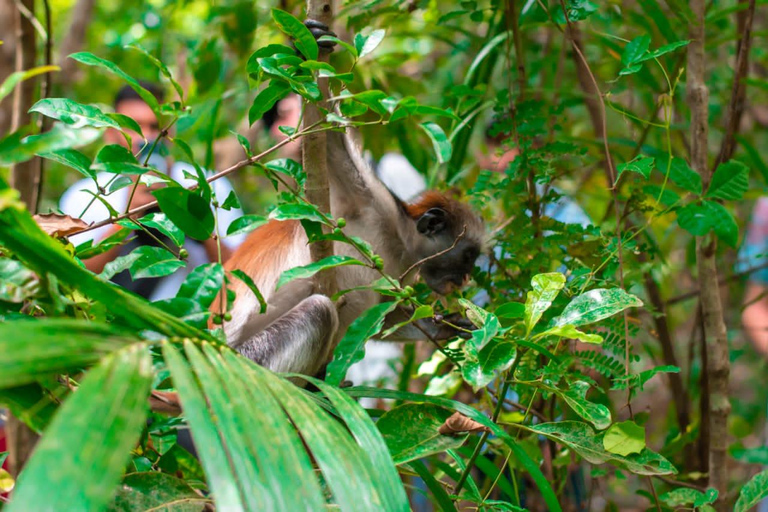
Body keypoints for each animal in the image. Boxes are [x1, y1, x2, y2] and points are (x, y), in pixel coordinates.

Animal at [216, 22, 484, 376]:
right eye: (468, 256)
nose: (466, 278)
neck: (396, 241)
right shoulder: (370, 198)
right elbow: (327, 140)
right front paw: (308, 48)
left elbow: (384, 318)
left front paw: (445, 326)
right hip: (245, 360)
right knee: (319, 310)